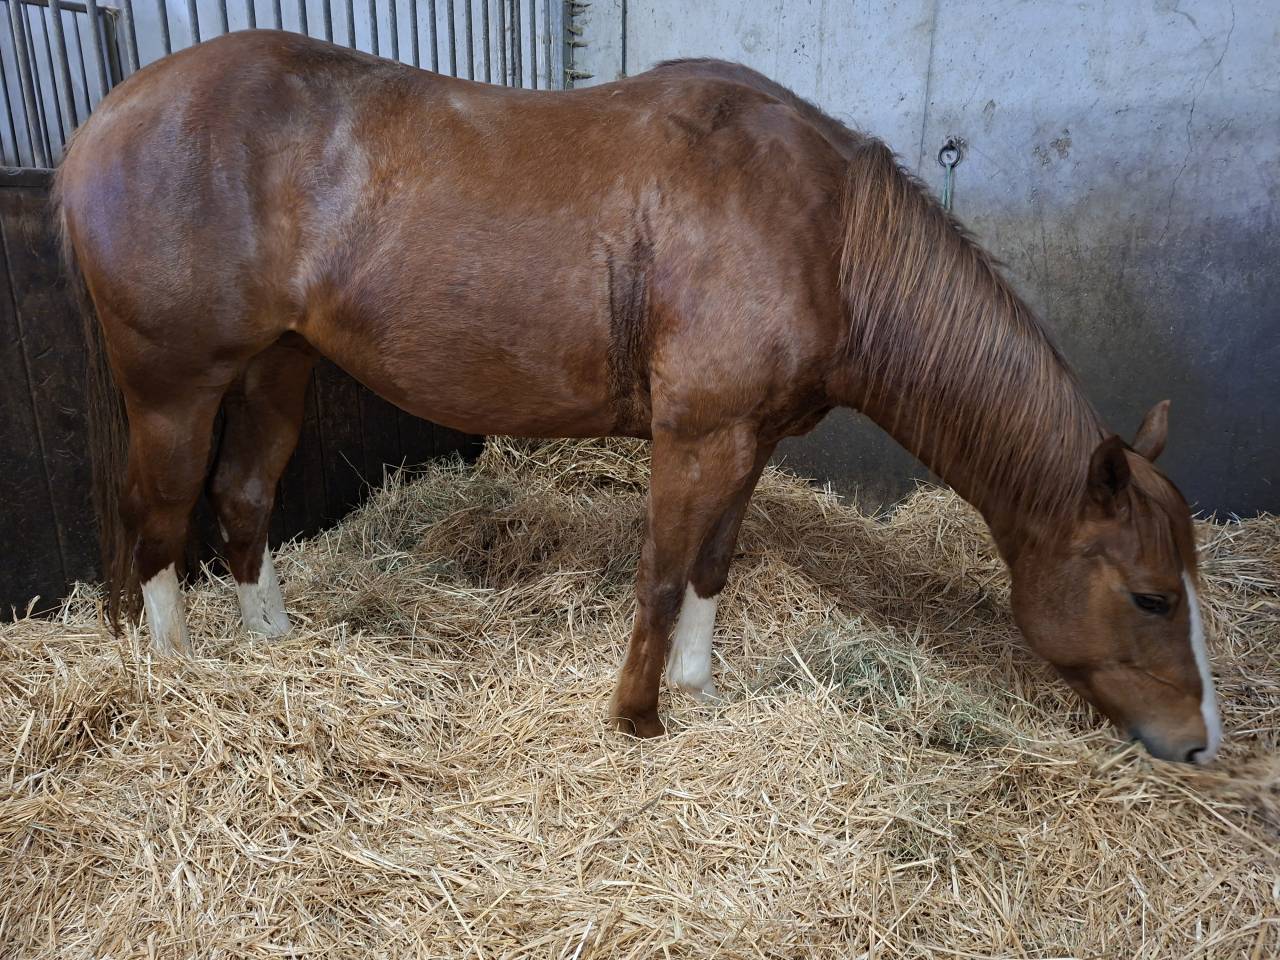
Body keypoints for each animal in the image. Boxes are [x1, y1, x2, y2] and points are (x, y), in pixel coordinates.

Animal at [53, 30, 1220, 763]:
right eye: (1150, 597)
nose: (1196, 742)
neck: (828, 237)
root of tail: (101, 123)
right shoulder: (694, 436)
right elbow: (659, 575)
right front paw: (639, 721)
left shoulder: (747, 439)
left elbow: (710, 567)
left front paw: (698, 691)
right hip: (175, 387)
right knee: (156, 519)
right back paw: (174, 667)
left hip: (276, 369)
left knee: (240, 499)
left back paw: (273, 647)